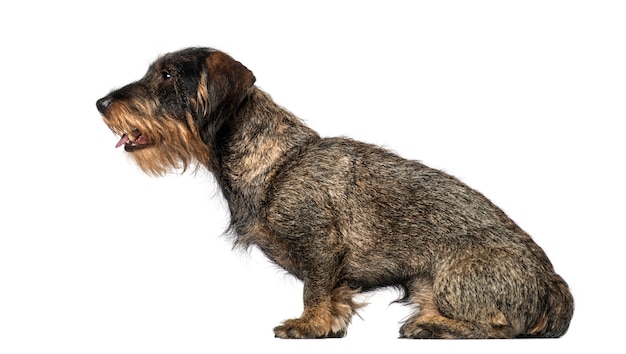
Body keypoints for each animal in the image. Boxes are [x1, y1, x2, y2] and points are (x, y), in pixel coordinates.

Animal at [96, 47, 572, 338]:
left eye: (168, 74)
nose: (101, 103)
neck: (280, 162)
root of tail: (552, 283)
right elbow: (336, 294)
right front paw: (331, 323)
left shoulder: (320, 245)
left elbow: (314, 290)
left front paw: (308, 326)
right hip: (423, 284)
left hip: (453, 278)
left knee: (500, 327)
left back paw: (431, 326)